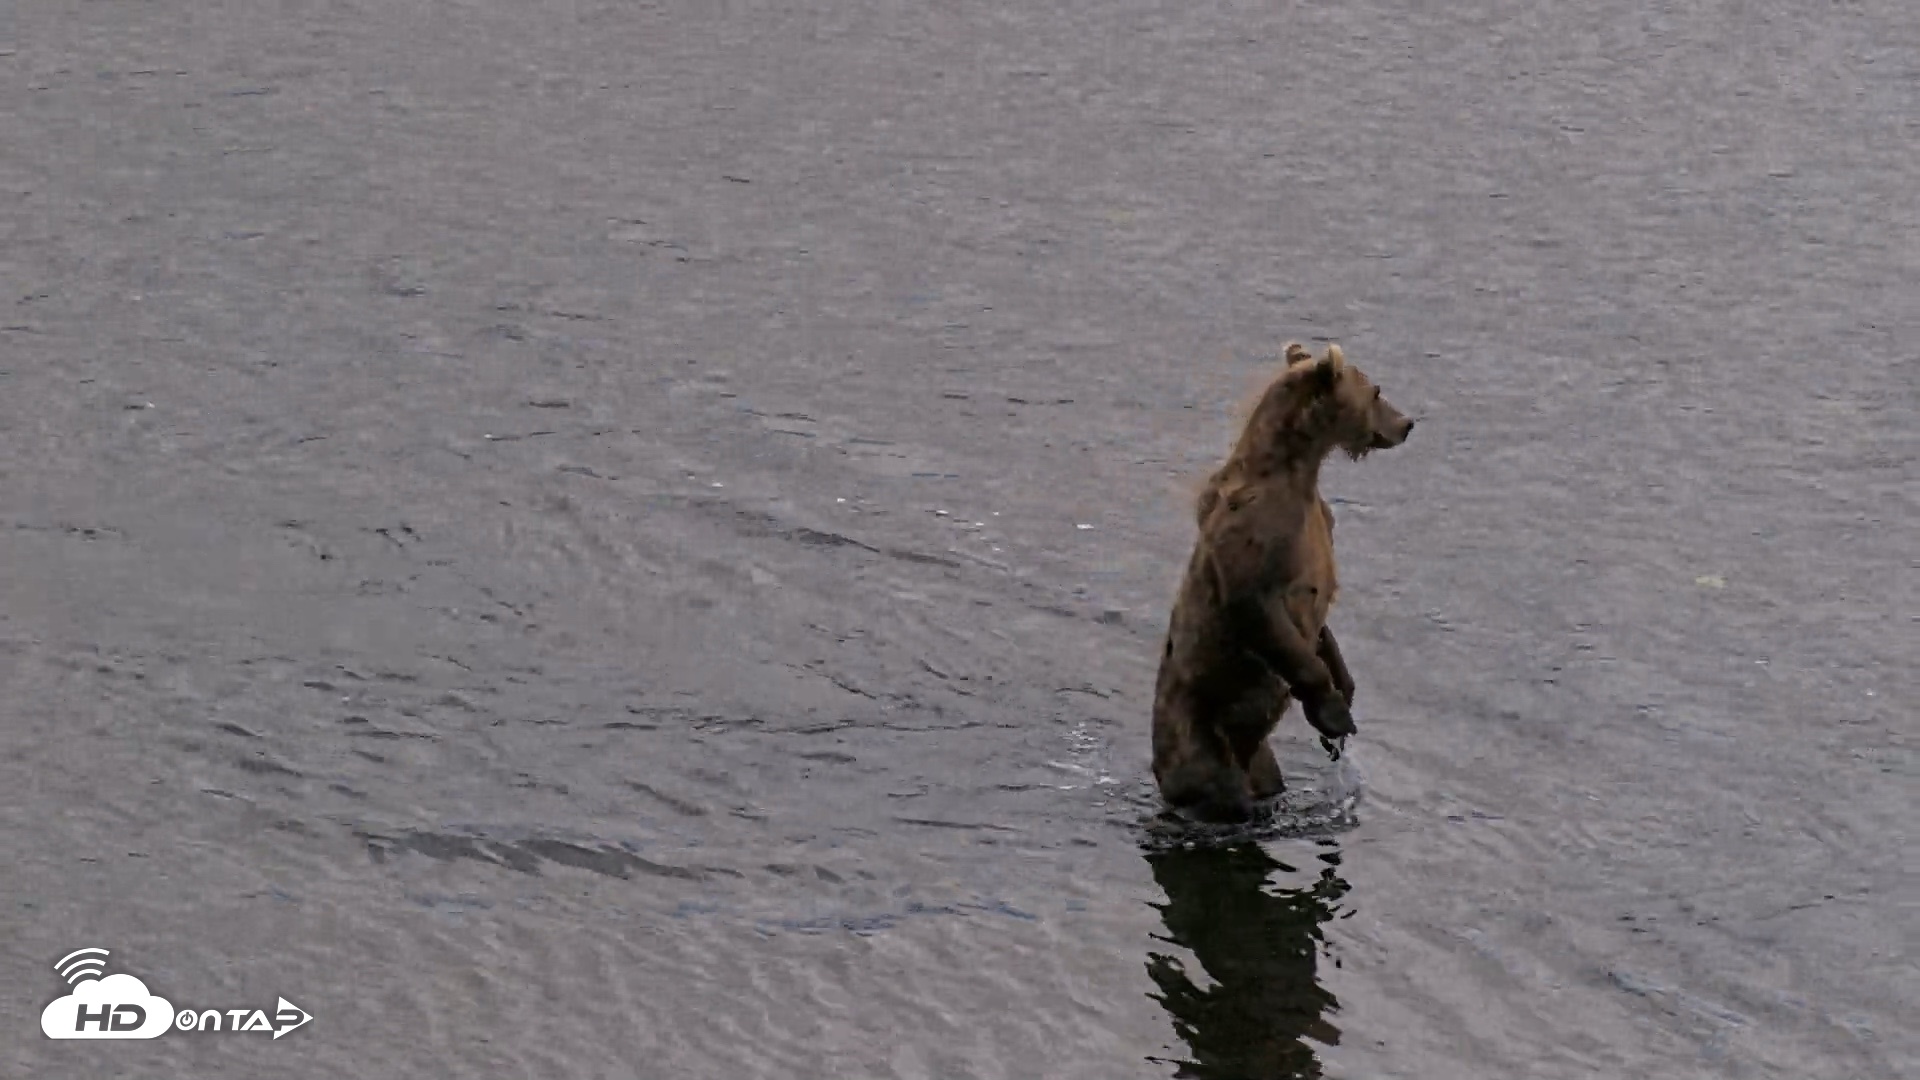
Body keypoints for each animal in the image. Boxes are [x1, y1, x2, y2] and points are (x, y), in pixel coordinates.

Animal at [1151, 342, 1415, 823]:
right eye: (1376, 391)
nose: (1406, 423)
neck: (1296, 471)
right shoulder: (1258, 534)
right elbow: (1256, 607)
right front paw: (1333, 713)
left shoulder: (1319, 522)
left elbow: (1321, 626)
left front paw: (1345, 688)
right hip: (1197, 730)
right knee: (1217, 787)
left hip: (1259, 757)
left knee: (1266, 776)